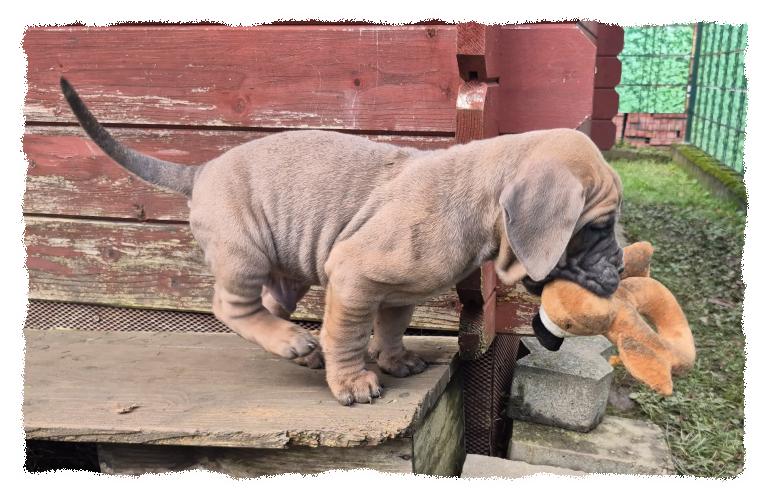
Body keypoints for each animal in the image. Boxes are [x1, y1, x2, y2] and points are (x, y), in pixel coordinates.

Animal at [60, 78, 624, 406]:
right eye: (595, 229)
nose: (620, 267)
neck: (483, 198)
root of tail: (199, 170)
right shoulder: (353, 276)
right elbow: (347, 335)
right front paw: (352, 380)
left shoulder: (396, 293)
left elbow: (391, 329)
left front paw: (394, 360)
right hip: (244, 251)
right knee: (230, 306)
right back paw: (294, 343)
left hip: (283, 268)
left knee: (268, 304)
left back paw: (296, 347)